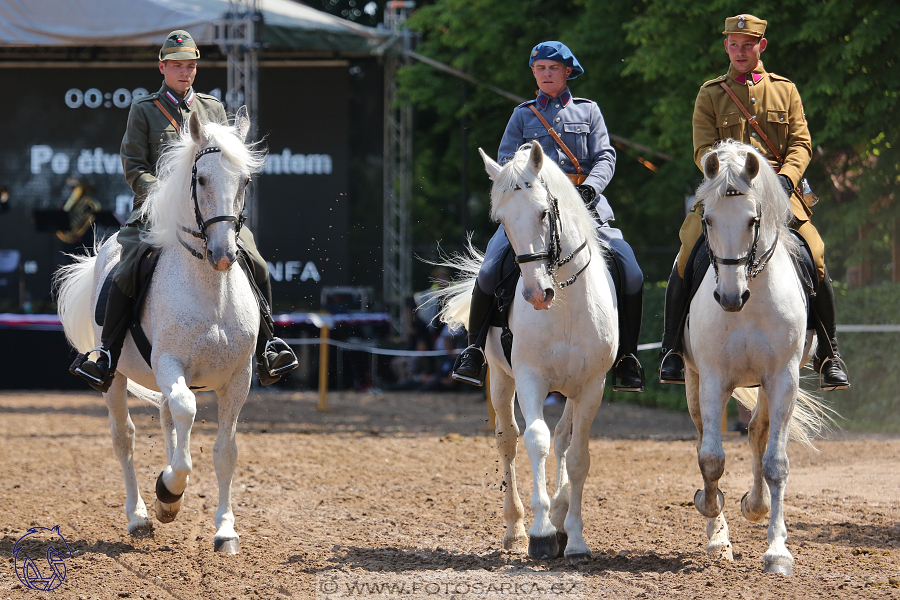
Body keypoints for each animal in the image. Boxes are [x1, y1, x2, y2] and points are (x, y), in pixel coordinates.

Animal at [55, 106, 262, 552]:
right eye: (200, 179)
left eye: (245, 181)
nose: (224, 255)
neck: (211, 291)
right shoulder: (170, 363)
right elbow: (186, 410)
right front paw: (168, 489)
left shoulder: (239, 377)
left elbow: (225, 451)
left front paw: (225, 530)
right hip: (114, 377)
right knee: (126, 437)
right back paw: (139, 516)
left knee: (168, 419)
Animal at [438, 143, 620, 564]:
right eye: (502, 221)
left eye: (542, 212)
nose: (538, 294)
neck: (566, 301)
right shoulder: (529, 378)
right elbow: (536, 439)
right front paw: (541, 533)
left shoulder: (592, 385)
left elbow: (578, 455)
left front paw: (574, 536)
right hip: (501, 379)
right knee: (508, 439)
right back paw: (517, 529)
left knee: (564, 438)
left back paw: (560, 515)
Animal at [684, 138, 832, 576]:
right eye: (708, 219)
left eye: (752, 220)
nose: (730, 297)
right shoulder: (713, 377)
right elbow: (711, 459)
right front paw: (711, 514)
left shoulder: (783, 378)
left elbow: (776, 463)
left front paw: (778, 551)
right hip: (693, 378)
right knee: (704, 437)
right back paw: (718, 531)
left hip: (768, 385)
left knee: (757, 433)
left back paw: (756, 504)